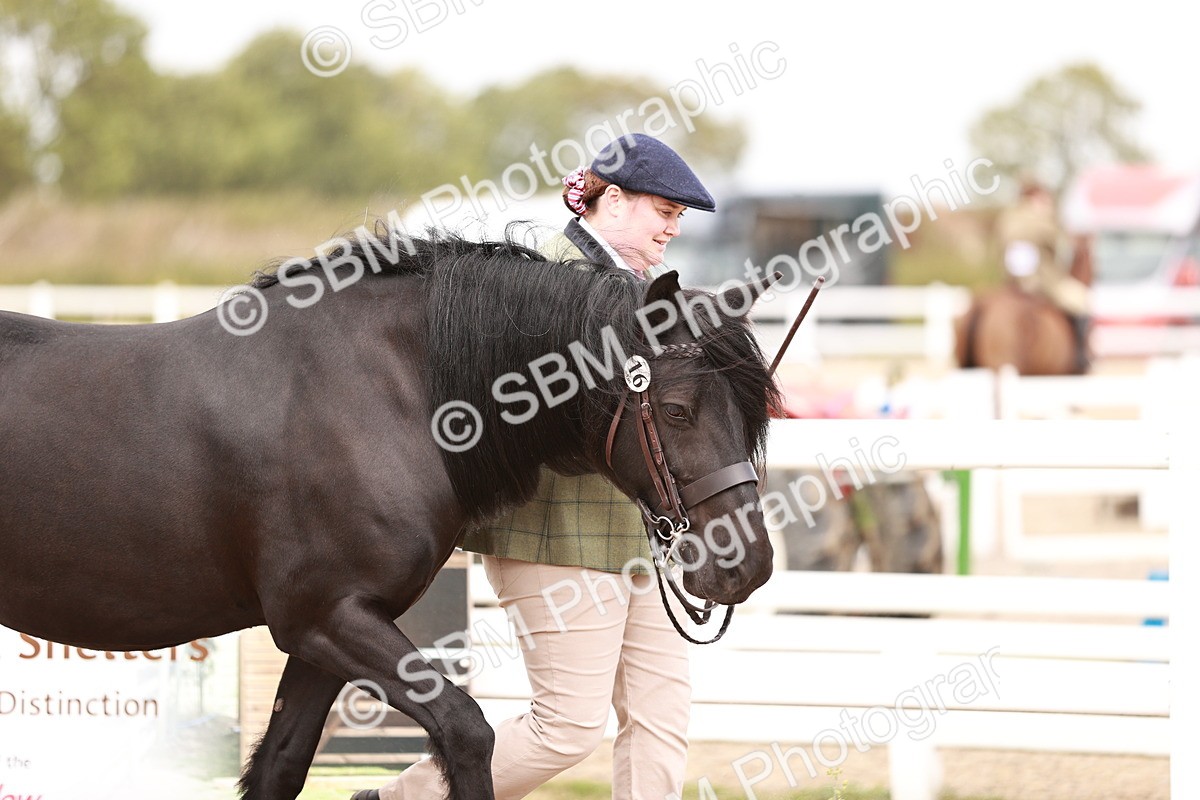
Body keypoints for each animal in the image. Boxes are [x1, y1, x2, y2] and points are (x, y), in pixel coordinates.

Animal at [0, 228, 783, 800]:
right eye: (677, 410)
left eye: (753, 414)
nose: (746, 564)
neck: (384, 393)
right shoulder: (328, 617)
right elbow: (466, 732)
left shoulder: (325, 633)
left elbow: (280, 766)